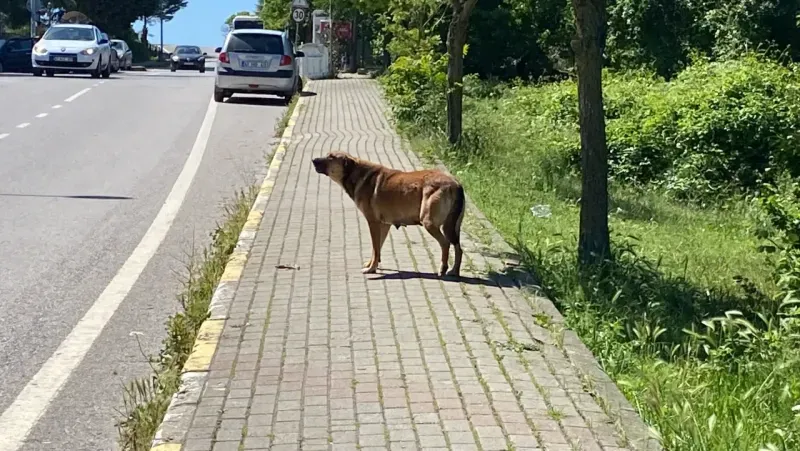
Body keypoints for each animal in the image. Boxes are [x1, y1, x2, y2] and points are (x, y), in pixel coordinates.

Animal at [310, 151, 466, 278]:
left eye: (331, 157)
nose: (313, 160)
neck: (355, 173)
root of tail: (455, 184)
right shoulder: (384, 225)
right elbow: (377, 249)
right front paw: (372, 265)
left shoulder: (373, 223)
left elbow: (375, 247)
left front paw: (371, 269)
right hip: (452, 226)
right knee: (458, 247)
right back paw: (454, 271)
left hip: (429, 222)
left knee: (445, 243)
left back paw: (443, 268)